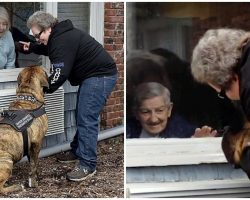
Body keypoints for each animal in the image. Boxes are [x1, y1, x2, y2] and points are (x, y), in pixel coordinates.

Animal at [0, 65, 48, 194]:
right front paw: (34, 182)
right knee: (0, 188)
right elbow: (34, 165)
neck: (28, 96)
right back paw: (16, 187)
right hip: (7, 161)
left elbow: (32, 162)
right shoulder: (37, 143)